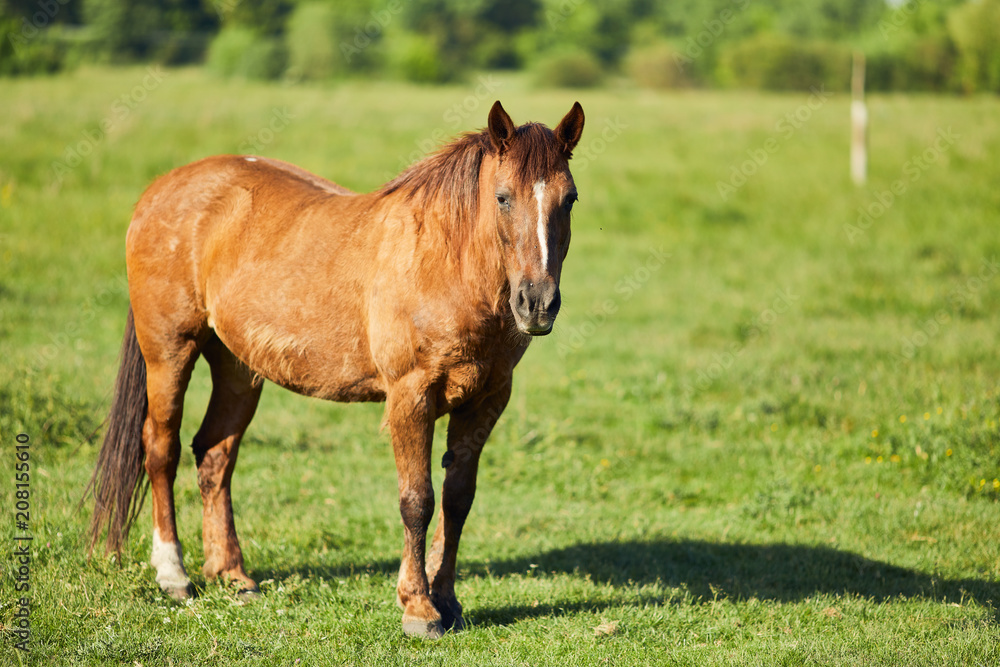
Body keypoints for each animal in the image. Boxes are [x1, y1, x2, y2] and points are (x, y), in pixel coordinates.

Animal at [86, 100, 585, 638]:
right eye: (503, 197)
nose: (537, 303)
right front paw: (419, 608)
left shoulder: (486, 400)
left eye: (570, 199)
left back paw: (232, 576)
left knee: (214, 455)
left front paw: (448, 601)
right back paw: (173, 574)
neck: (445, 262)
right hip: (169, 353)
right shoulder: (411, 396)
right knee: (161, 449)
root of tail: (161, 189)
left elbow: (457, 499)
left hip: (238, 367)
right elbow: (418, 500)